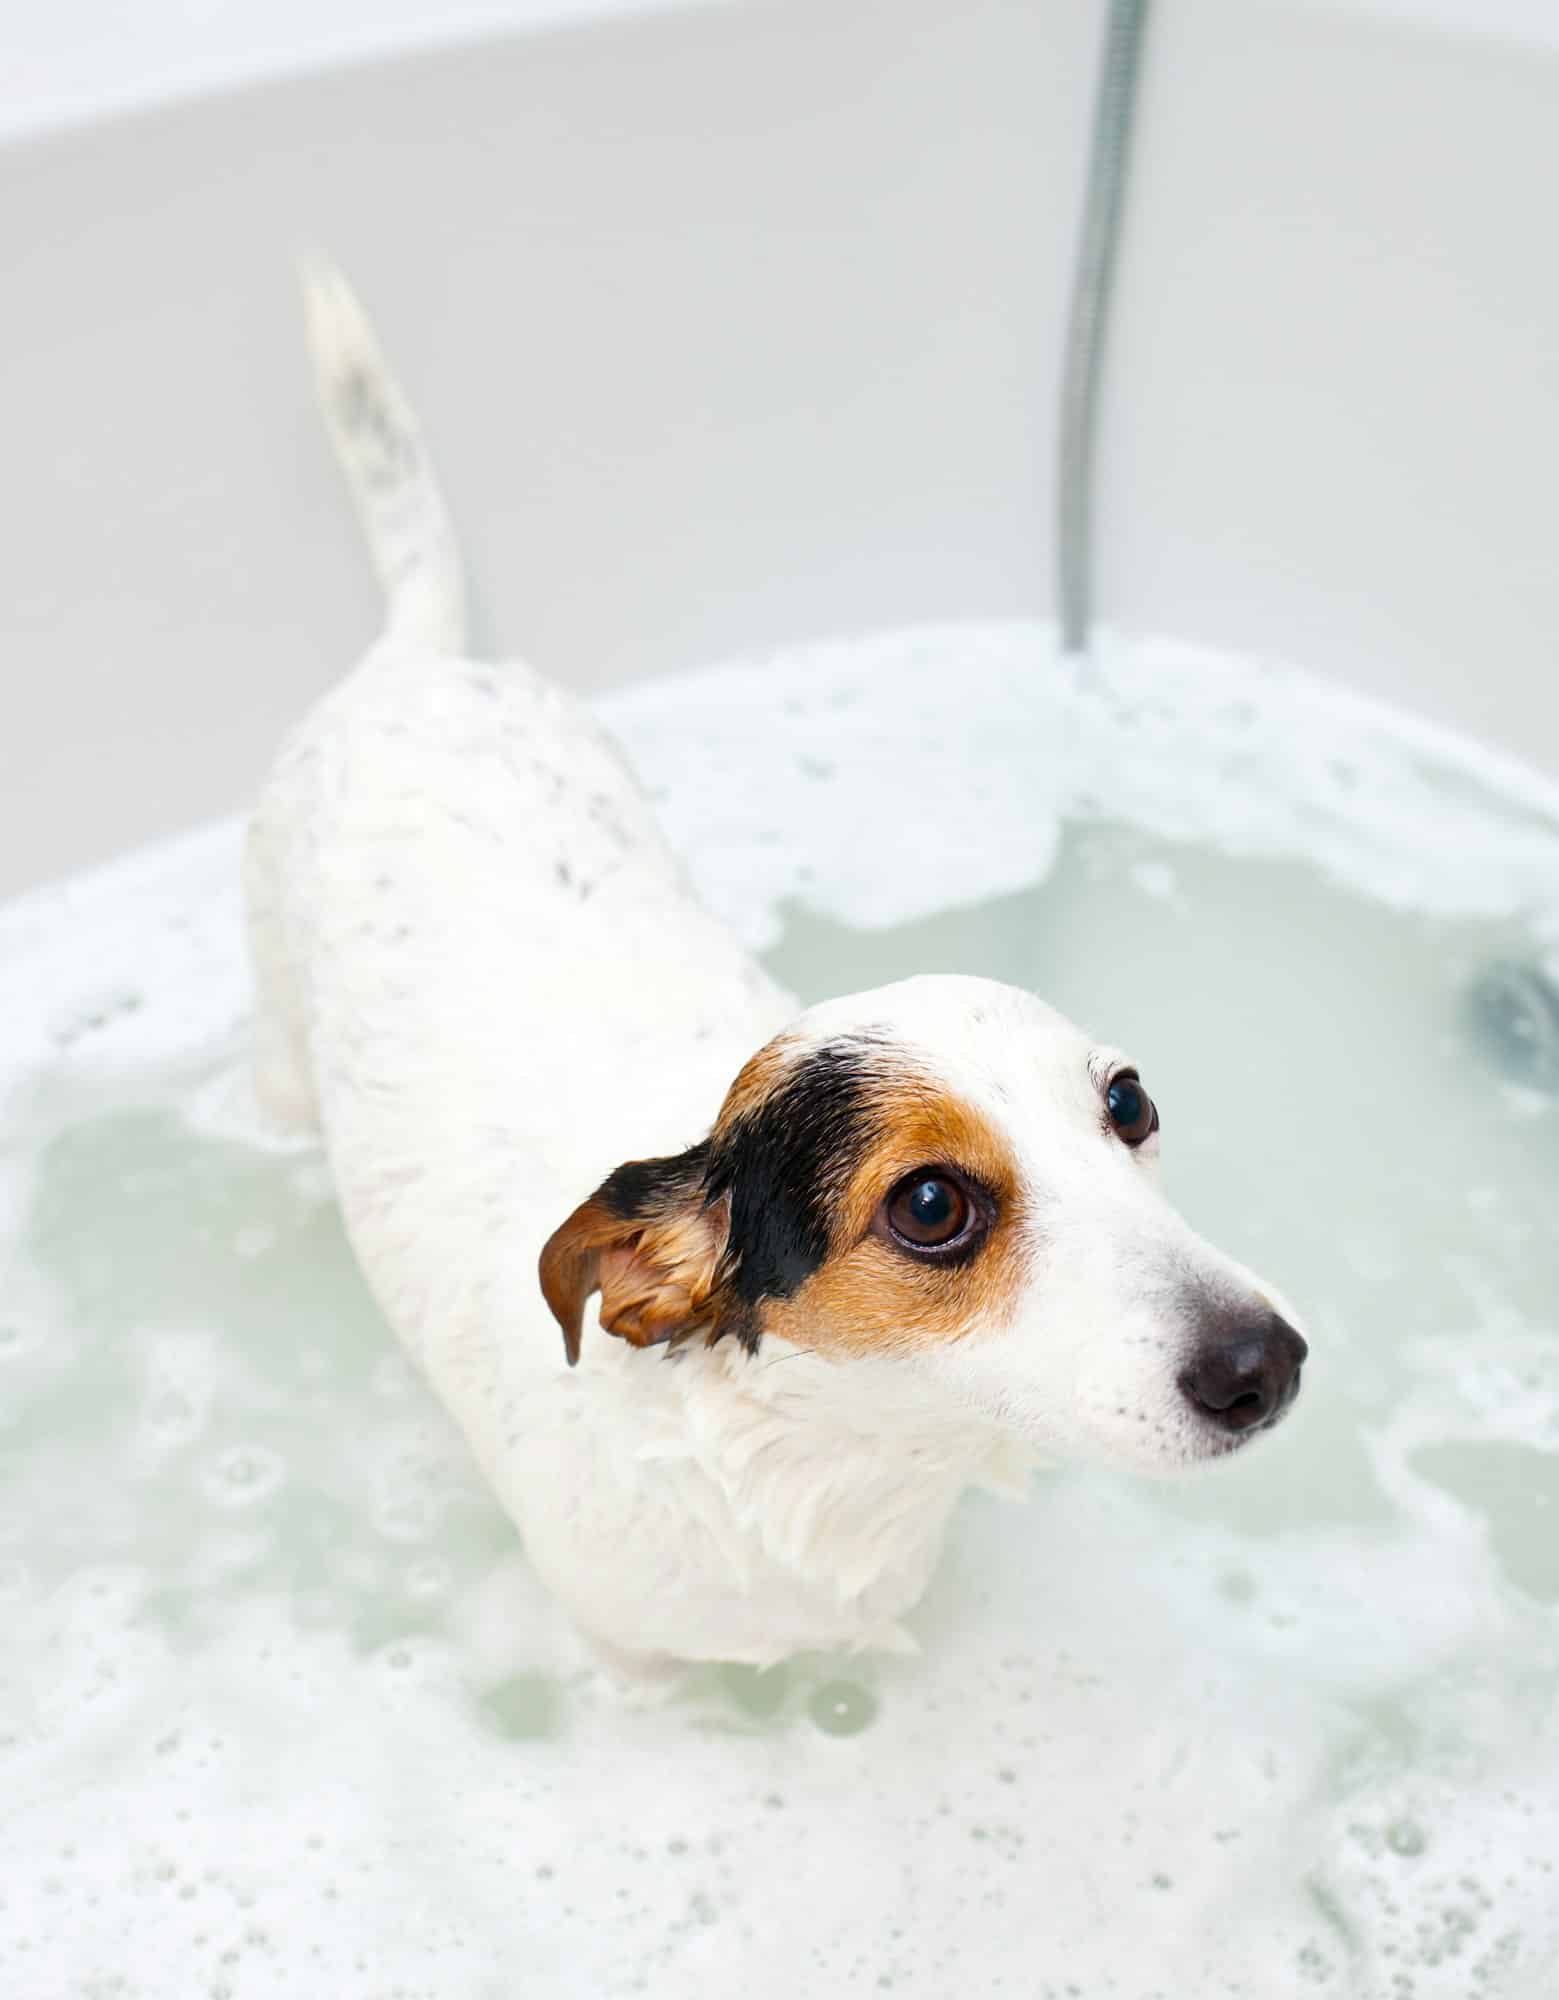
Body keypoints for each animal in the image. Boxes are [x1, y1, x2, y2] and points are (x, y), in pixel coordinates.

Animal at [246, 266, 1303, 1672]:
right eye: (928, 1204)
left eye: (1126, 1103)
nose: (1263, 1361)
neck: (808, 1471)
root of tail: (417, 662)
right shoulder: (632, 1659)